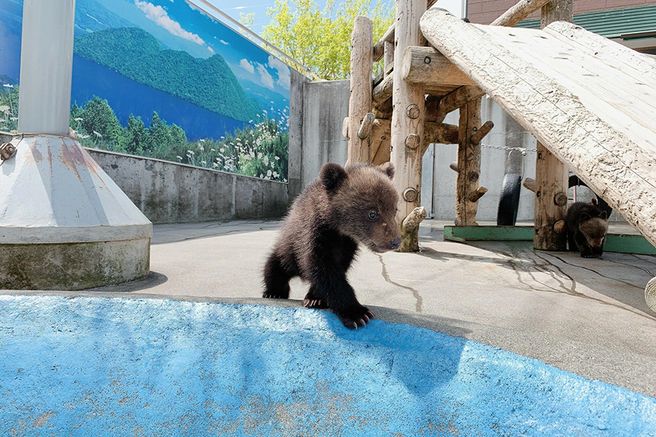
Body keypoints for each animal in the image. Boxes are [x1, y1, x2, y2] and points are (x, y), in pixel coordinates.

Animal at [262, 162, 401, 329]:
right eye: (372, 213)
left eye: (394, 209)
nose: (395, 241)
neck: (337, 229)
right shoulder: (314, 235)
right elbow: (324, 269)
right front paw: (357, 314)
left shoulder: (347, 244)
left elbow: (335, 268)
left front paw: (315, 298)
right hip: (288, 249)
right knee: (275, 266)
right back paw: (274, 291)